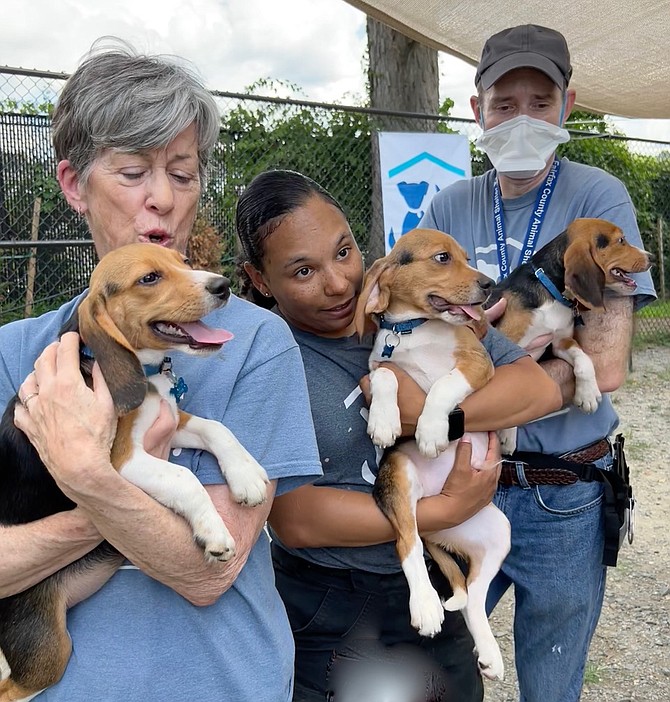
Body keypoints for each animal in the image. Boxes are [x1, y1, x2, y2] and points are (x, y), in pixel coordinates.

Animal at [0, 243, 268, 702]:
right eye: (149, 278)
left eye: (183, 261)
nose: (222, 286)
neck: (143, 372)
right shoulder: (118, 460)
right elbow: (185, 479)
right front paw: (213, 532)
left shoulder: (174, 420)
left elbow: (218, 429)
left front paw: (246, 477)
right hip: (45, 650)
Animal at [356, 231, 510, 680]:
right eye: (442, 258)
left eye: (466, 256)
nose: (489, 285)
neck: (413, 330)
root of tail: (435, 510)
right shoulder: (376, 367)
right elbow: (388, 376)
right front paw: (386, 422)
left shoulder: (477, 363)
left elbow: (443, 384)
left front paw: (429, 429)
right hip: (399, 477)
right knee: (407, 544)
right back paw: (425, 606)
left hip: (499, 532)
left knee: (474, 595)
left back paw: (489, 653)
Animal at [490, 217, 652, 454]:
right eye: (621, 240)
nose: (652, 257)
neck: (549, 290)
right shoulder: (509, 347)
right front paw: (508, 437)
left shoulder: (561, 342)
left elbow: (583, 358)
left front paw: (587, 394)